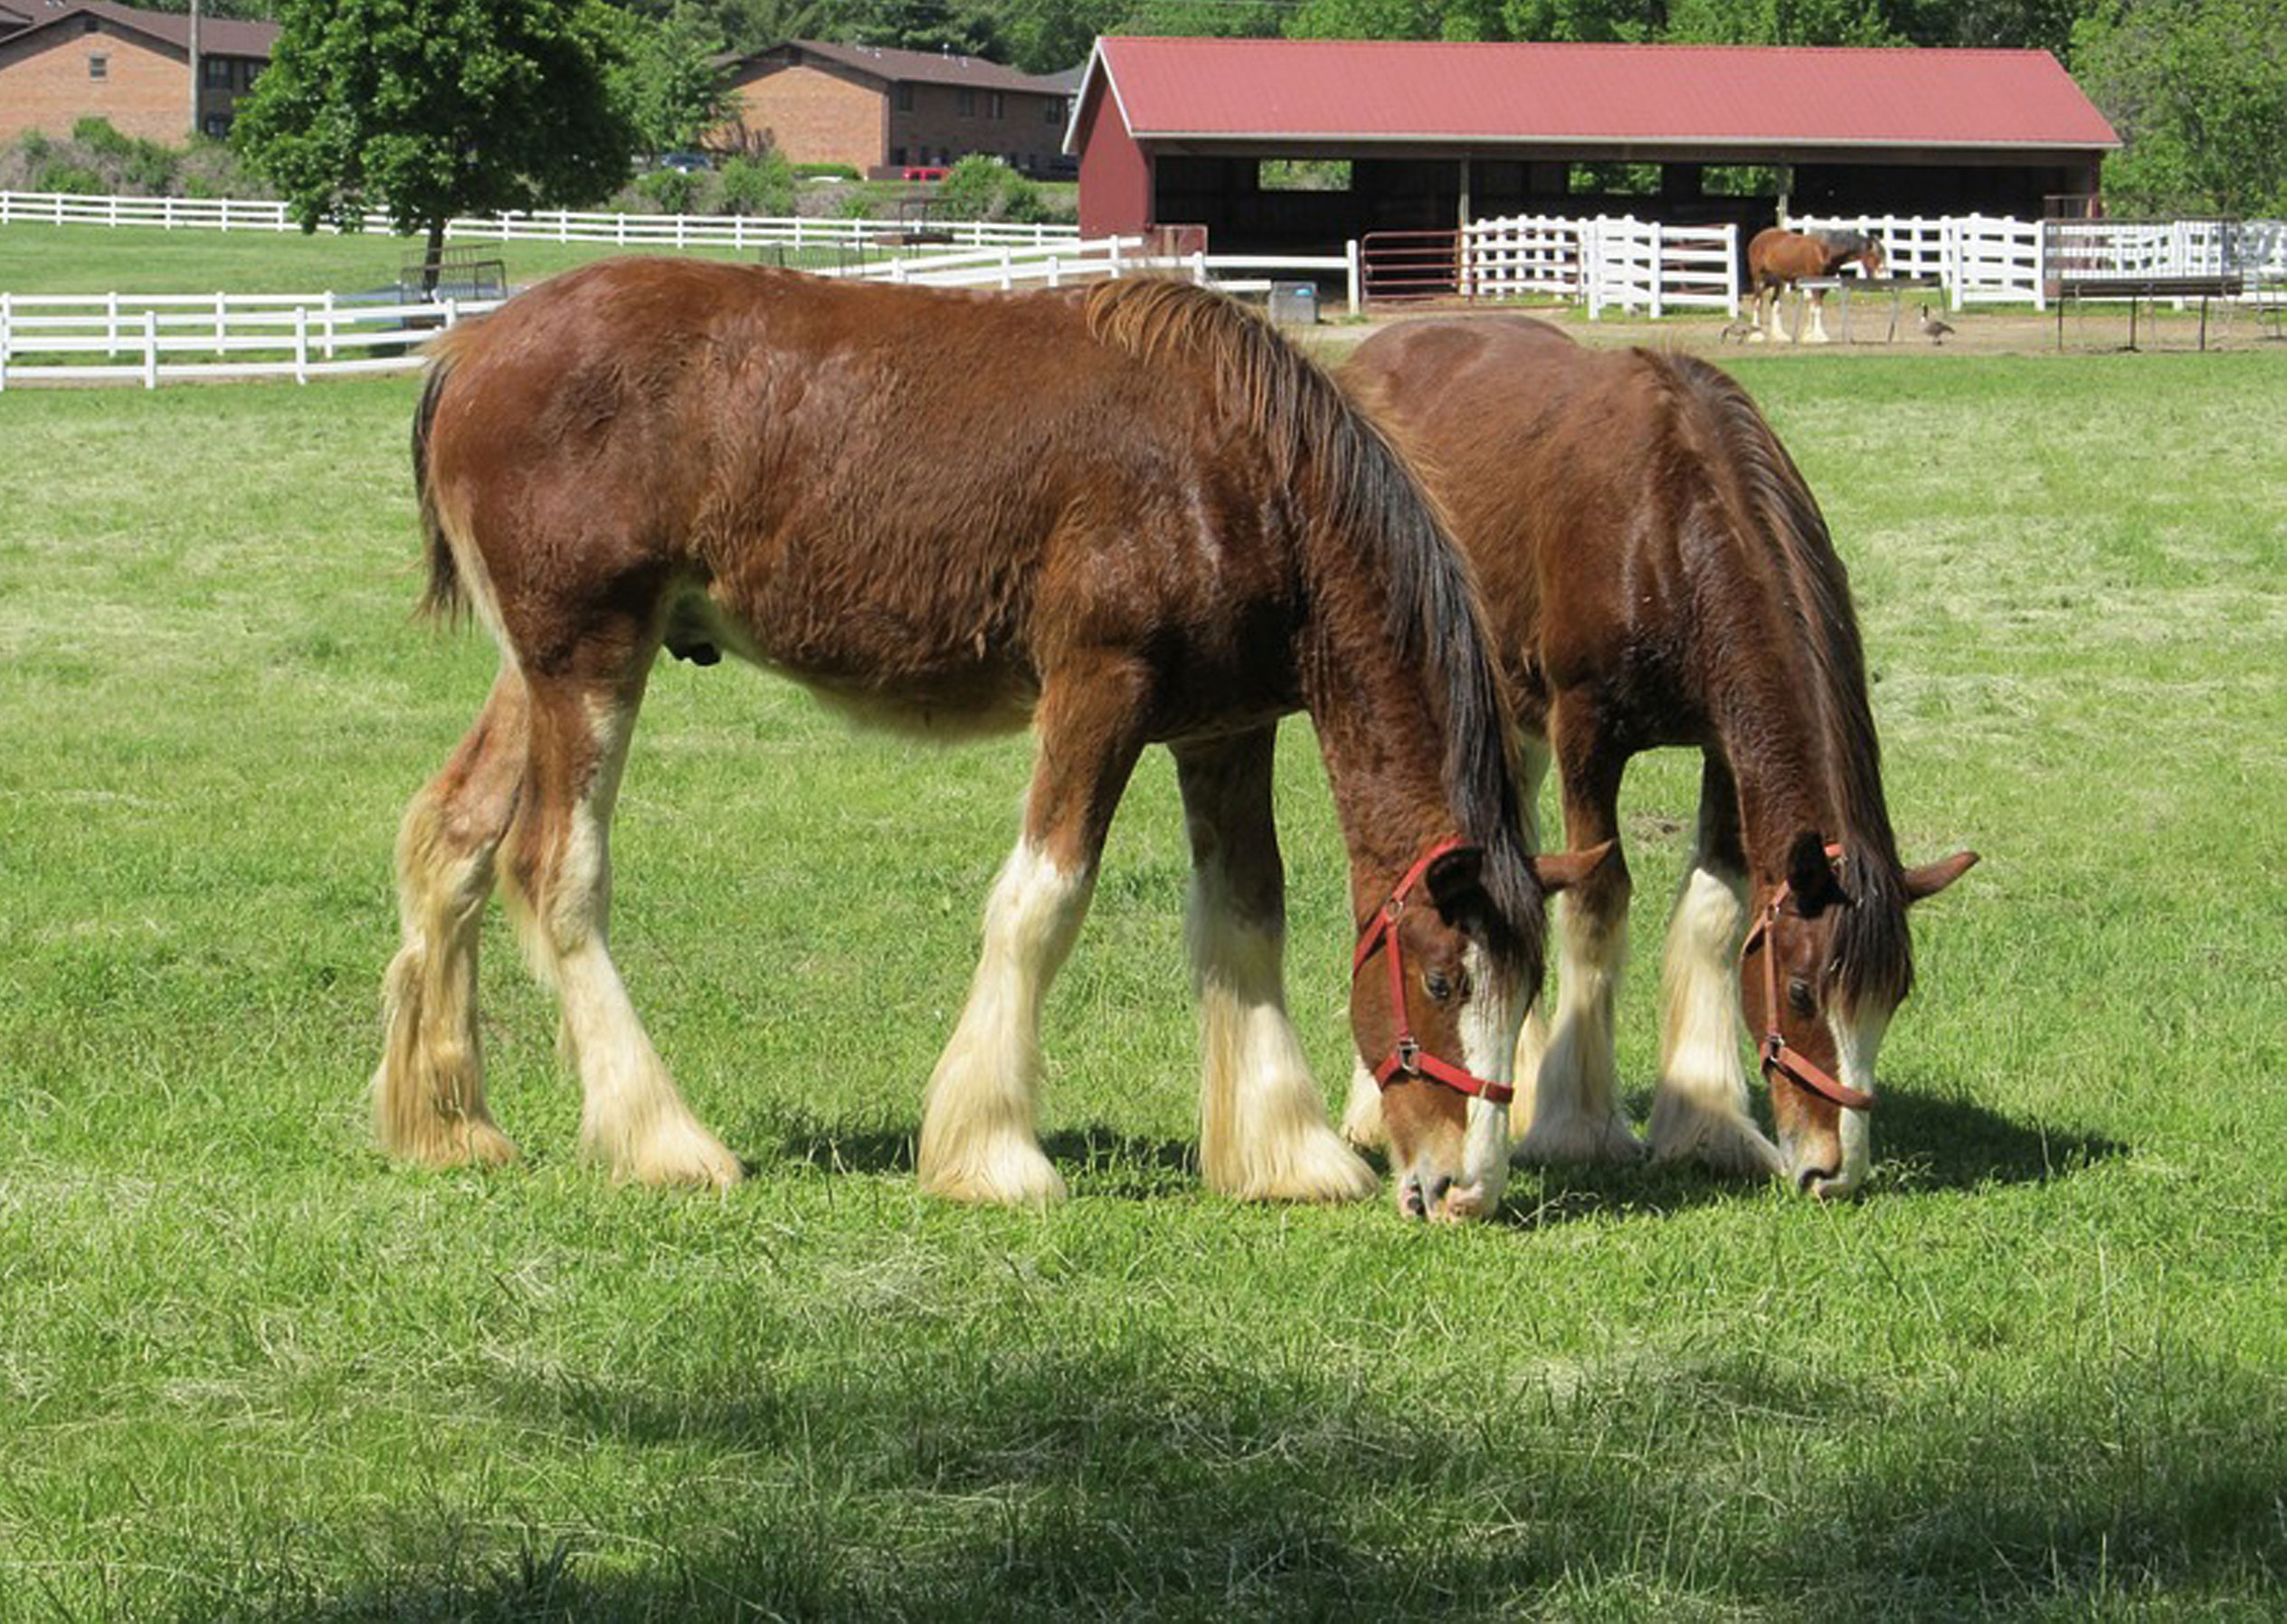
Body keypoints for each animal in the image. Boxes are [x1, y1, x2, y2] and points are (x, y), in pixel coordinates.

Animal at [379, 257, 1609, 1226]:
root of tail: (475, 345)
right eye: (1444, 979)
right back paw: (661, 1140)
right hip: (589, 665)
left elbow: (1247, 913)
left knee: (453, 841)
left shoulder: (1224, 730)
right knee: (555, 870)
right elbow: (1041, 901)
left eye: (1526, 989)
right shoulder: (1097, 692)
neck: (1234, 469)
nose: (1462, 1188)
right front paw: (992, 1154)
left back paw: (450, 1125)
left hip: (537, 676)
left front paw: (1284, 1154)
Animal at [1344, 319, 1976, 1207]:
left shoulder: (1723, 744)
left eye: (1894, 996)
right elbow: (1596, 907)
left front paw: (1707, 1124)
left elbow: (1713, 912)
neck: (1666, 527)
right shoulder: (1587, 733)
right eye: (1802, 991)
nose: (1832, 1169)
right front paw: (1580, 1124)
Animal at [1738, 227, 1884, 345]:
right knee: (1757, 301)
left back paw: (1779, 336)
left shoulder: (1824, 286)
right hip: (1760, 279)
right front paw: (1820, 336)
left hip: (1778, 281)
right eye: (1876, 256)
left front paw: (1809, 335)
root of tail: (1758, 238)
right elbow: (1817, 308)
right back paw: (1757, 334)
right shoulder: (1816, 283)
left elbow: (1814, 307)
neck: (1825, 250)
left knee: (1775, 303)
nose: (1882, 278)